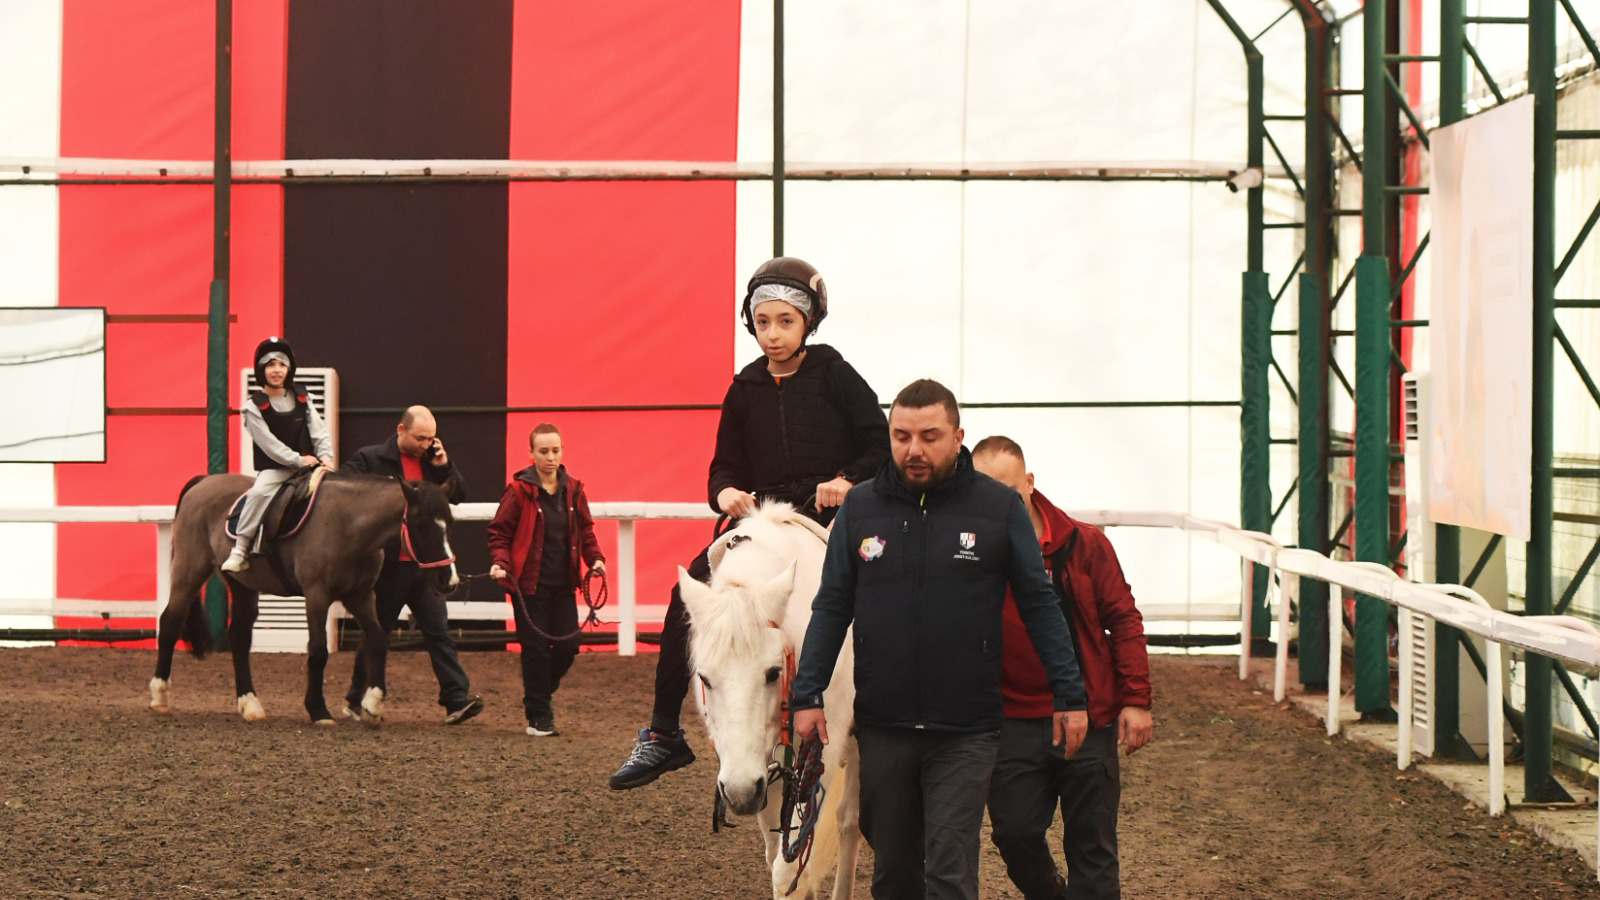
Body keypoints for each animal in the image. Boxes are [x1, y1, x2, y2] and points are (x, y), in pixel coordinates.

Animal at [149, 470, 459, 725]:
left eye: (450, 523)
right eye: (421, 524)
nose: (449, 580)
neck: (347, 525)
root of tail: (203, 482)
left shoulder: (360, 596)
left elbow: (378, 641)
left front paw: (372, 704)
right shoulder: (317, 596)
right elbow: (318, 651)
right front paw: (318, 709)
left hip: (242, 585)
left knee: (238, 637)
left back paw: (250, 703)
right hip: (190, 570)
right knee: (170, 622)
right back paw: (160, 696)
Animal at [677, 501, 862, 900]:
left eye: (773, 672)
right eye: (705, 678)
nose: (739, 793)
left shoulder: (817, 757)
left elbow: (788, 869)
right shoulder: (762, 769)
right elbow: (778, 853)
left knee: (849, 823)